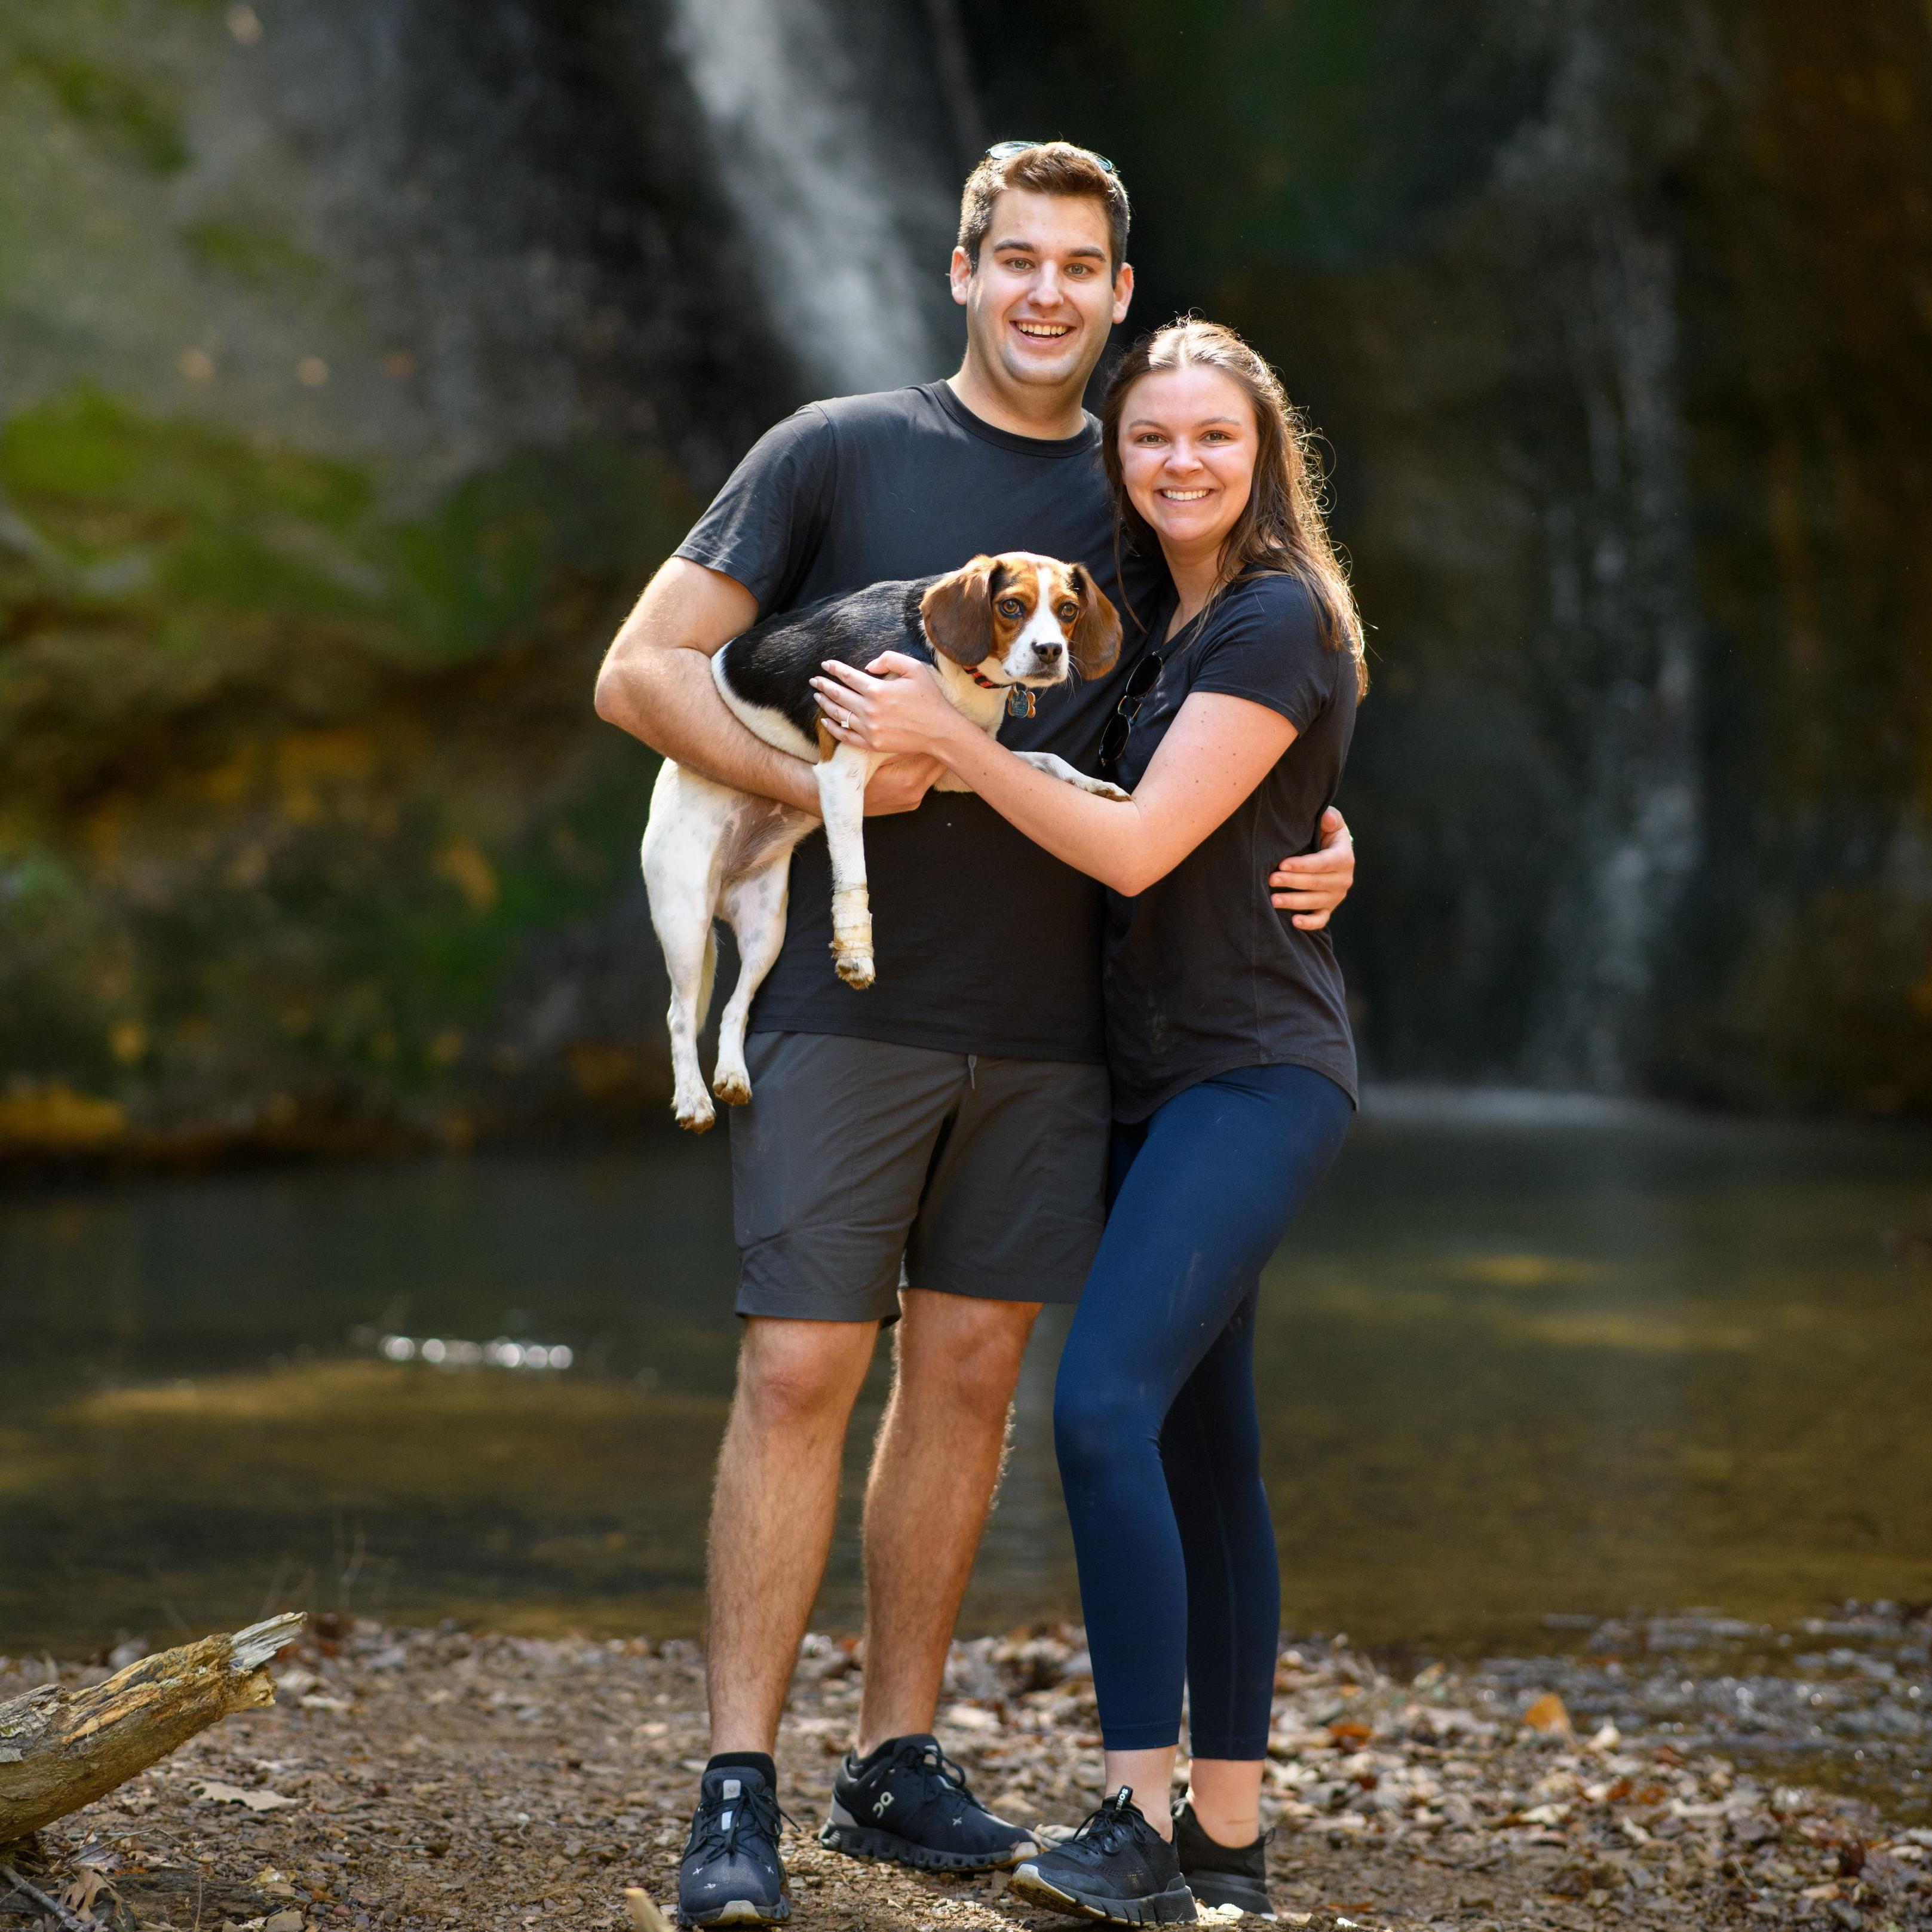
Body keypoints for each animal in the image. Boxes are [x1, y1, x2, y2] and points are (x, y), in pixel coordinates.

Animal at [641, 552, 1128, 1128]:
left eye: (1069, 610)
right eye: (1011, 606)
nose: (1051, 651)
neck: (942, 660)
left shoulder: (954, 768)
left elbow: (1050, 761)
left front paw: (1094, 786)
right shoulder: (842, 775)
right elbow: (855, 874)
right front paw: (857, 952)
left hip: (766, 929)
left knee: (735, 1008)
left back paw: (732, 1077)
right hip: (686, 918)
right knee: (677, 1014)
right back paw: (694, 1098)